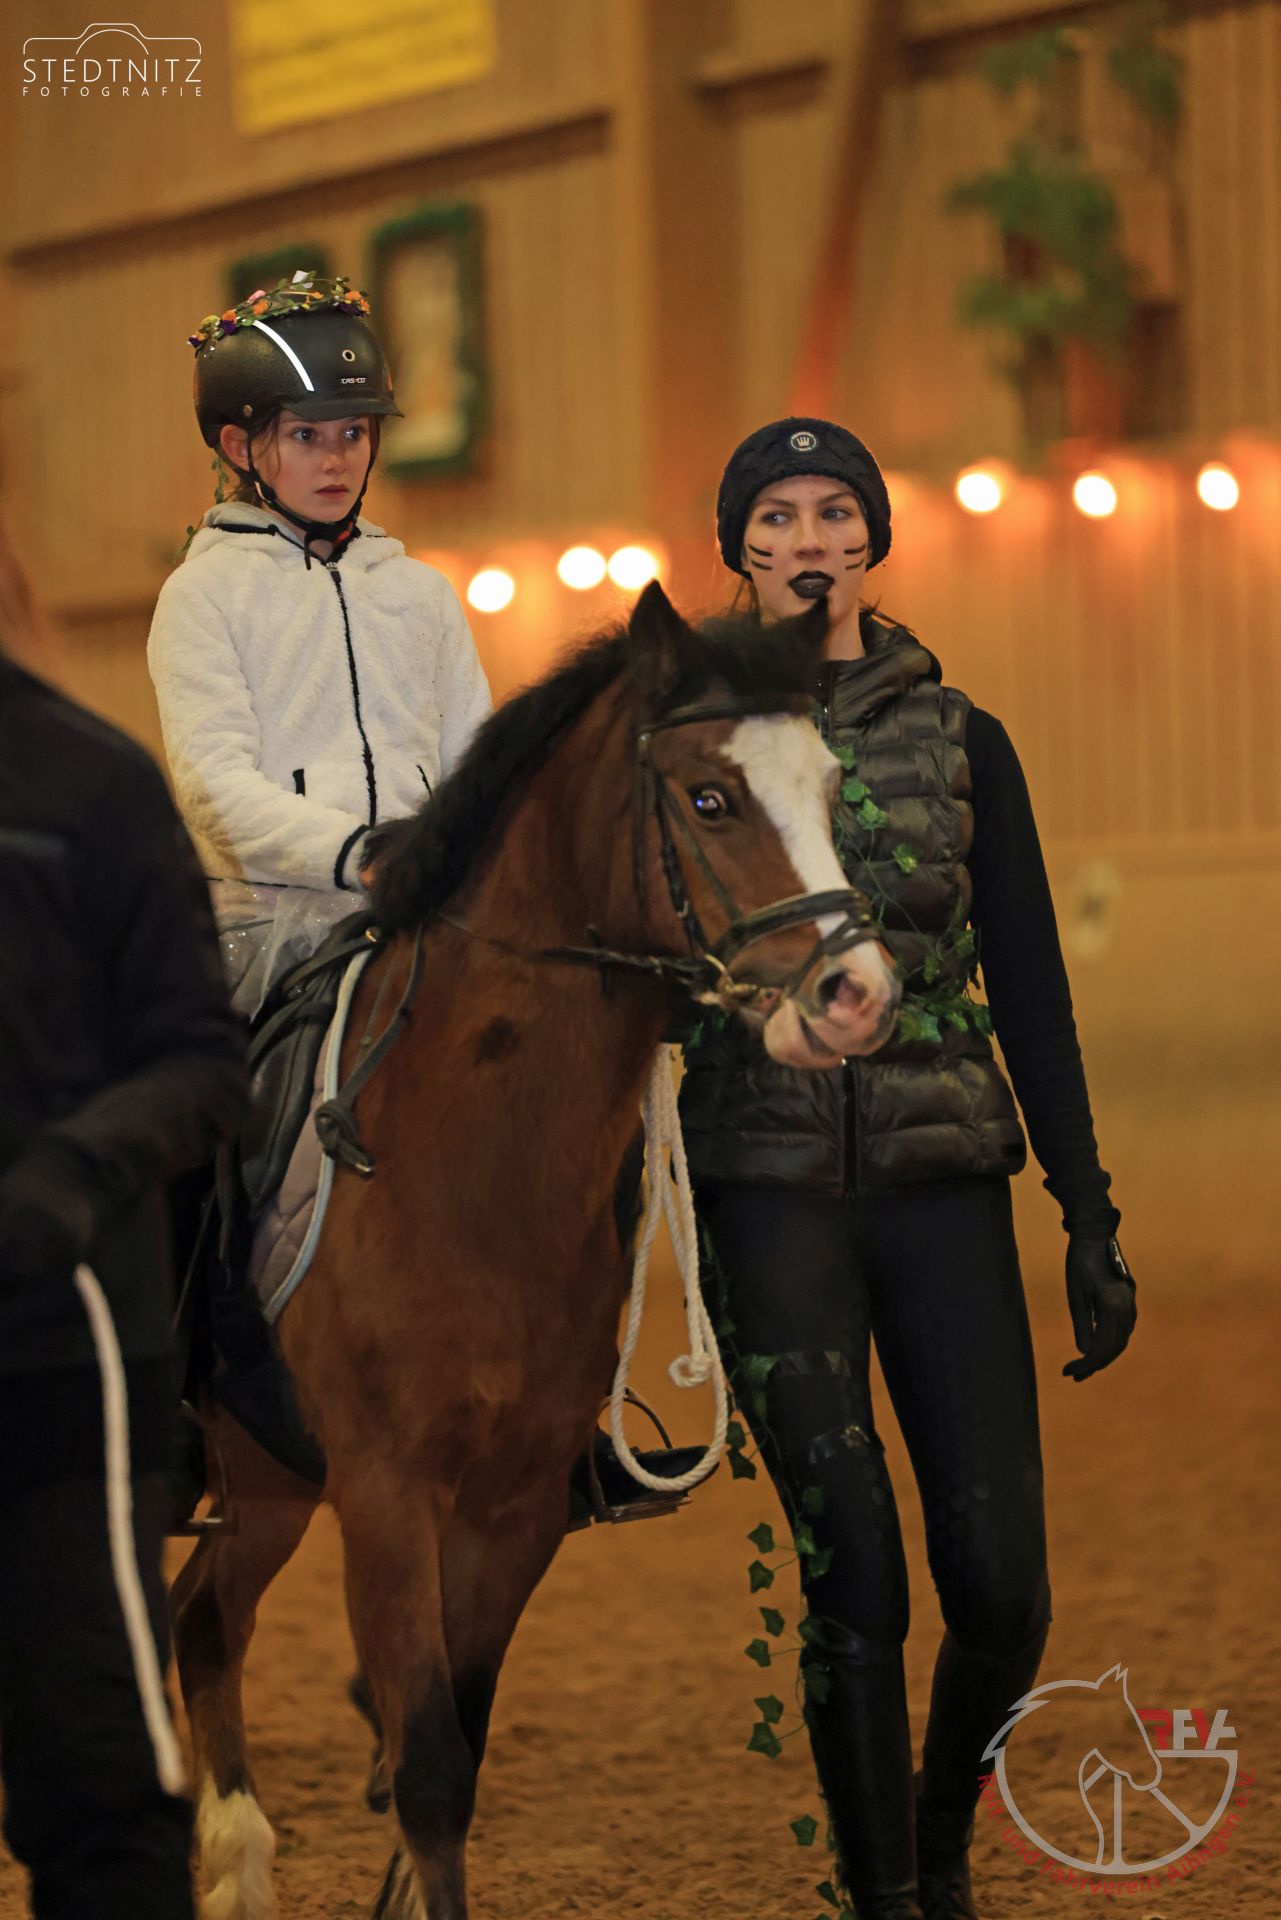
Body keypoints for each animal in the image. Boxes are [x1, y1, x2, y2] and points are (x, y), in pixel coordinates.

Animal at [171, 581, 900, 1920]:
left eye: (829, 790)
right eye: (710, 798)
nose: (857, 997)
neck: (463, 1166)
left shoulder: (510, 1509)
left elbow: (454, 1748)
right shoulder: (388, 1493)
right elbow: (424, 1767)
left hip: (267, 1475)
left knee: (203, 1622)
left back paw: (237, 1865)